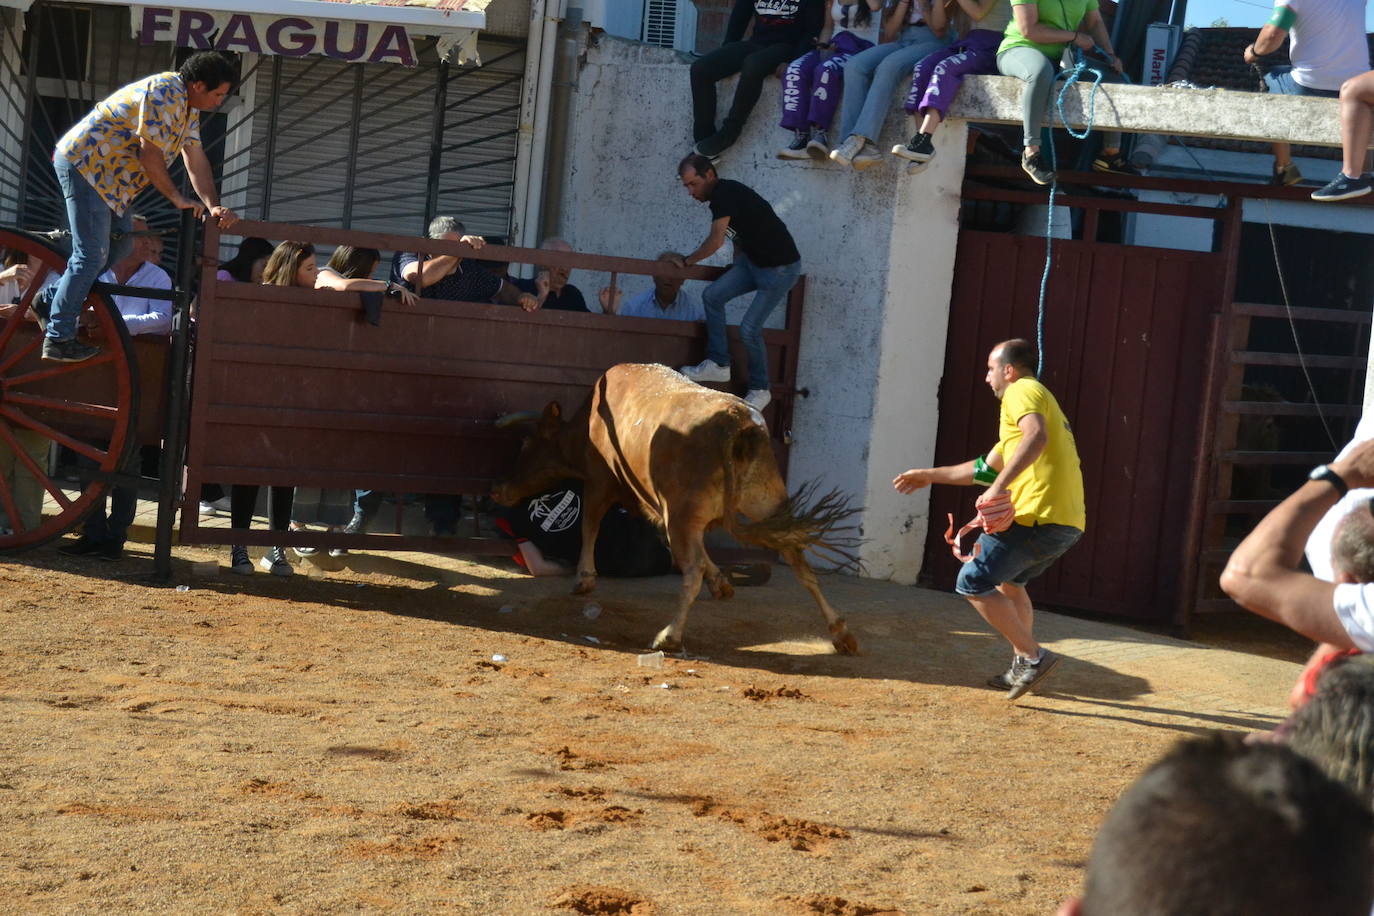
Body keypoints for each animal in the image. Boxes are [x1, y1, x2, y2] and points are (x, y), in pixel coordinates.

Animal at [494, 362, 857, 656]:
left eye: (526, 444)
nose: (498, 491)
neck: (589, 423)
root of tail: (737, 423)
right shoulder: (663, 510)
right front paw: (722, 584)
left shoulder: (600, 481)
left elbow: (589, 526)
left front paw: (584, 580)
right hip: (765, 503)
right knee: (799, 562)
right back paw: (841, 633)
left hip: (683, 512)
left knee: (691, 571)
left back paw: (669, 636)